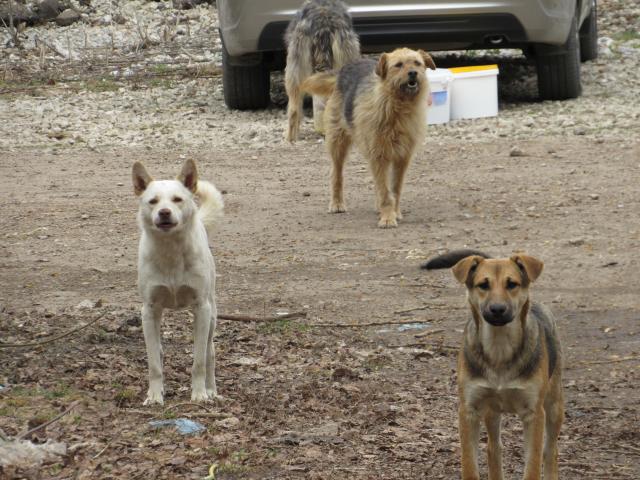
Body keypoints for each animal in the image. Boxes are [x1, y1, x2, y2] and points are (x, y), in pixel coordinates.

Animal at [131, 158, 224, 404]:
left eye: (177, 199)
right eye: (153, 201)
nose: (164, 212)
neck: (170, 250)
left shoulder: (201, 308)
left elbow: (198, 361)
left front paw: (199, 394)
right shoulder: (149, 310)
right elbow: (154, 363)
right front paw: (155, 396)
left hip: (211, 315)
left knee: (209, 353)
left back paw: (211, 390)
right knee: (159, 352)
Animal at [300, 47, 436, 228]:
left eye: (417, 63)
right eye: (398, 65)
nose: (413, 73)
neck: (397, 107)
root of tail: (344, 69)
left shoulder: (401, 157)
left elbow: (394, 189)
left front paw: (394, 212)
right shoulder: (379, 155)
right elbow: (385, 191)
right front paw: (387, 217)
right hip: (338, 143)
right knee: (336, 175)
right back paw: (337, 203)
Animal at [422, 251, 564, 480]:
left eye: (512, 284)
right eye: (483, 285)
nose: (497, 309)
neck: (499, 348)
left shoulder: (534, 414)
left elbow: (533, 465)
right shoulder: (469, 411)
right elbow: (470, 465)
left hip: (554, 405)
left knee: (551, 450)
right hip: (492, 411)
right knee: (494, 448)